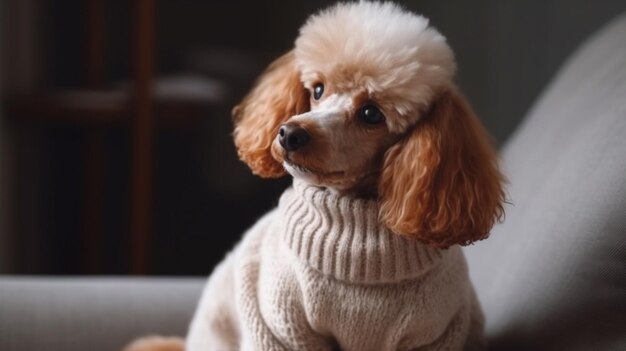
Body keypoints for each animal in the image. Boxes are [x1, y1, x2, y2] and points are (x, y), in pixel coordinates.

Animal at [124, 0, 504, 351]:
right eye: (318, 90)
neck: (357, 245)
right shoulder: (281, 325)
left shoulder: (436, 334)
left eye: (371, 114)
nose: (288, 134)